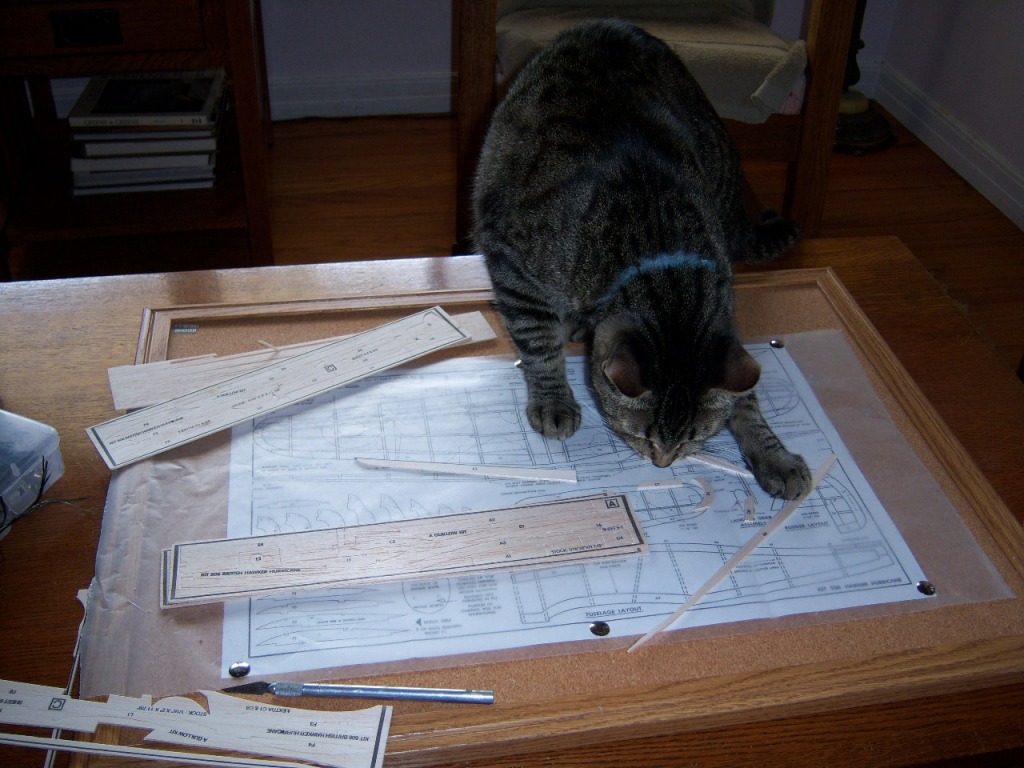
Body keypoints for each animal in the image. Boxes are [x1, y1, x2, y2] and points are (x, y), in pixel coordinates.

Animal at [472, 19, 811, 499]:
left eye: (693, 440)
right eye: (641, 434)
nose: (662, 463)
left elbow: (746, 401)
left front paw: (774, 454)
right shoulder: (513, 266)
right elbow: (537, 343)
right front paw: (554, 399)